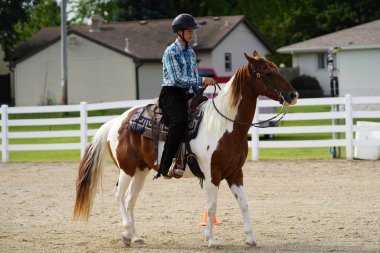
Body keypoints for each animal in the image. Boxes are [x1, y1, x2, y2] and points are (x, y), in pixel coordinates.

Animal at [73, 51, 300, 247]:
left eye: (276, 69)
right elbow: (211, 207)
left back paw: (135, 237)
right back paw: (126, 233)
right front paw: (211, 240)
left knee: (130, 200)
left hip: (141, 170)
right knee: (119, 196)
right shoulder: (212, 175)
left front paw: (250, 239)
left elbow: (244, 204)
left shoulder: (235, 173)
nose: (293, 94)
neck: (224, 125)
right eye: (268, 72)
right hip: (126, 169)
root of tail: (116, 121)